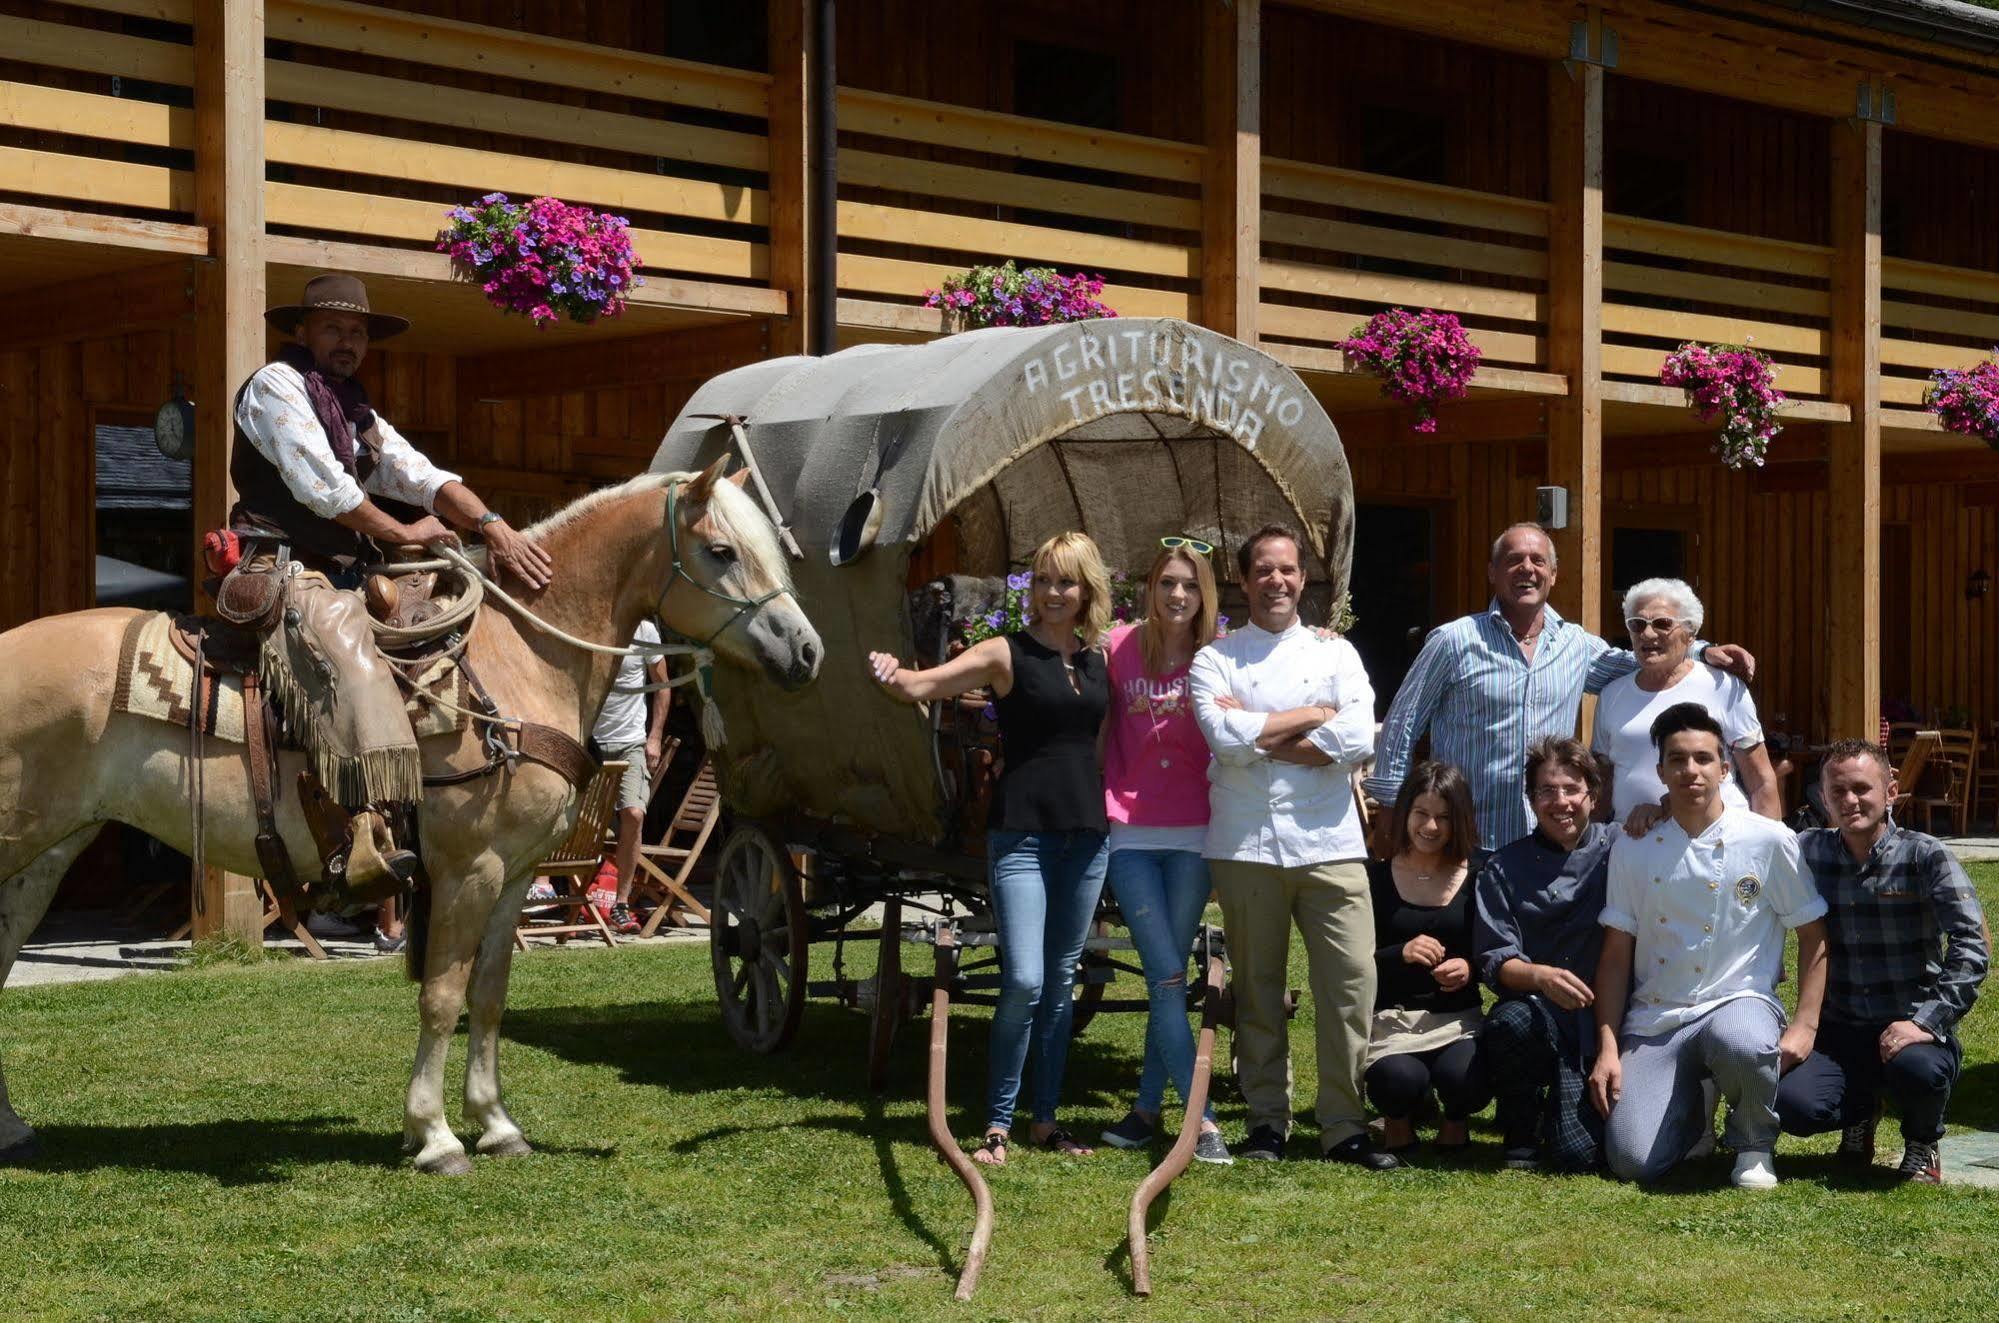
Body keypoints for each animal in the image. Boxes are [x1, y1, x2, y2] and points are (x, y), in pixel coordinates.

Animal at [0, 461, 819, 1175]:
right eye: (722, 552)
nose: (807, 651)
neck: (521, 657)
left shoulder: (514, 878)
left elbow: (488, 997)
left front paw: (496, 1124)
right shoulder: (466, 872)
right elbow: (442, 998)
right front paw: (435, 1136)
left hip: (46, 854)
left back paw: (12, 1128)